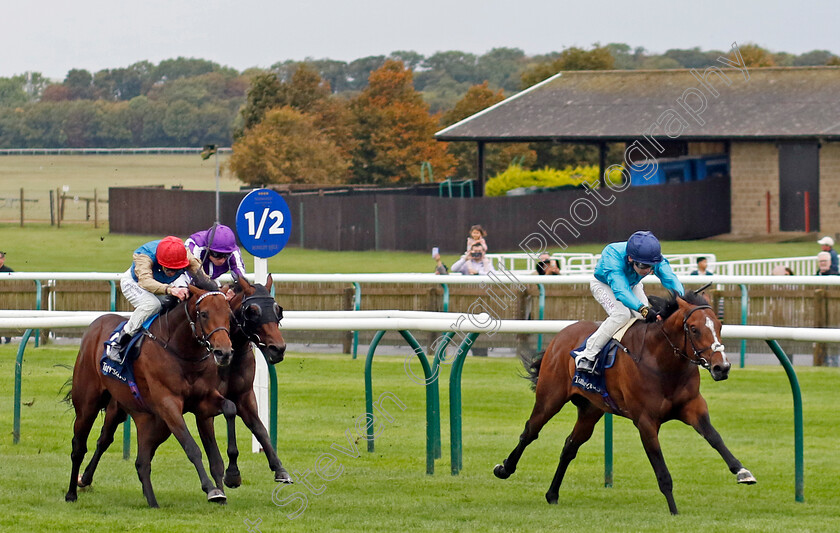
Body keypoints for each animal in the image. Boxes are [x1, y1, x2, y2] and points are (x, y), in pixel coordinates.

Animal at [64, 286, 235, 508]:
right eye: (204, 314)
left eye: (229, 314)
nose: (224, 353)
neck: (183, 354)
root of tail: (96, 324)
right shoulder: (168, 404)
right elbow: (192, 447)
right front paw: (211, 489)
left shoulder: (204, 403)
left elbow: (228, 413)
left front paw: (229, 480)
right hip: (87, 404)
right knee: (79, 446)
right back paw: (71, 493)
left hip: (135, 414)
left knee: (122, 450)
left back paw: (147, 499)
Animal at [488, 288, 756, 512]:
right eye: (693, 328)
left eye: (719, 325)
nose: (722, 367)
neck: (663, 364)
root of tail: (560, 335)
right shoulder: (646, 421)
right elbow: (661, 470)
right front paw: (674, 511)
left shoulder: (693, 407)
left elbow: (715, 437)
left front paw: (742, 471)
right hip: (550, 398)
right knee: (530, 431)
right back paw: (504, 468)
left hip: (591, 409)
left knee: (570, 446)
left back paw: (552, 494)